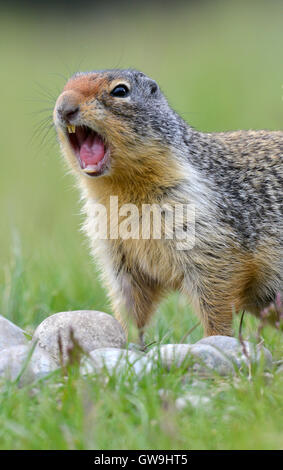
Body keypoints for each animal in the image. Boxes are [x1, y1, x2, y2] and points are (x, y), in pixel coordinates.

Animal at [52, 68, 282, 340]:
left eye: (120, 90)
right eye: (66, 85)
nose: (64, 107)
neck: (121, 191)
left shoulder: (206, 234)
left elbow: (216, 295)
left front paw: (216, 338)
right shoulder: (116, 252)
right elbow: (129, 301)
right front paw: (127, 340)